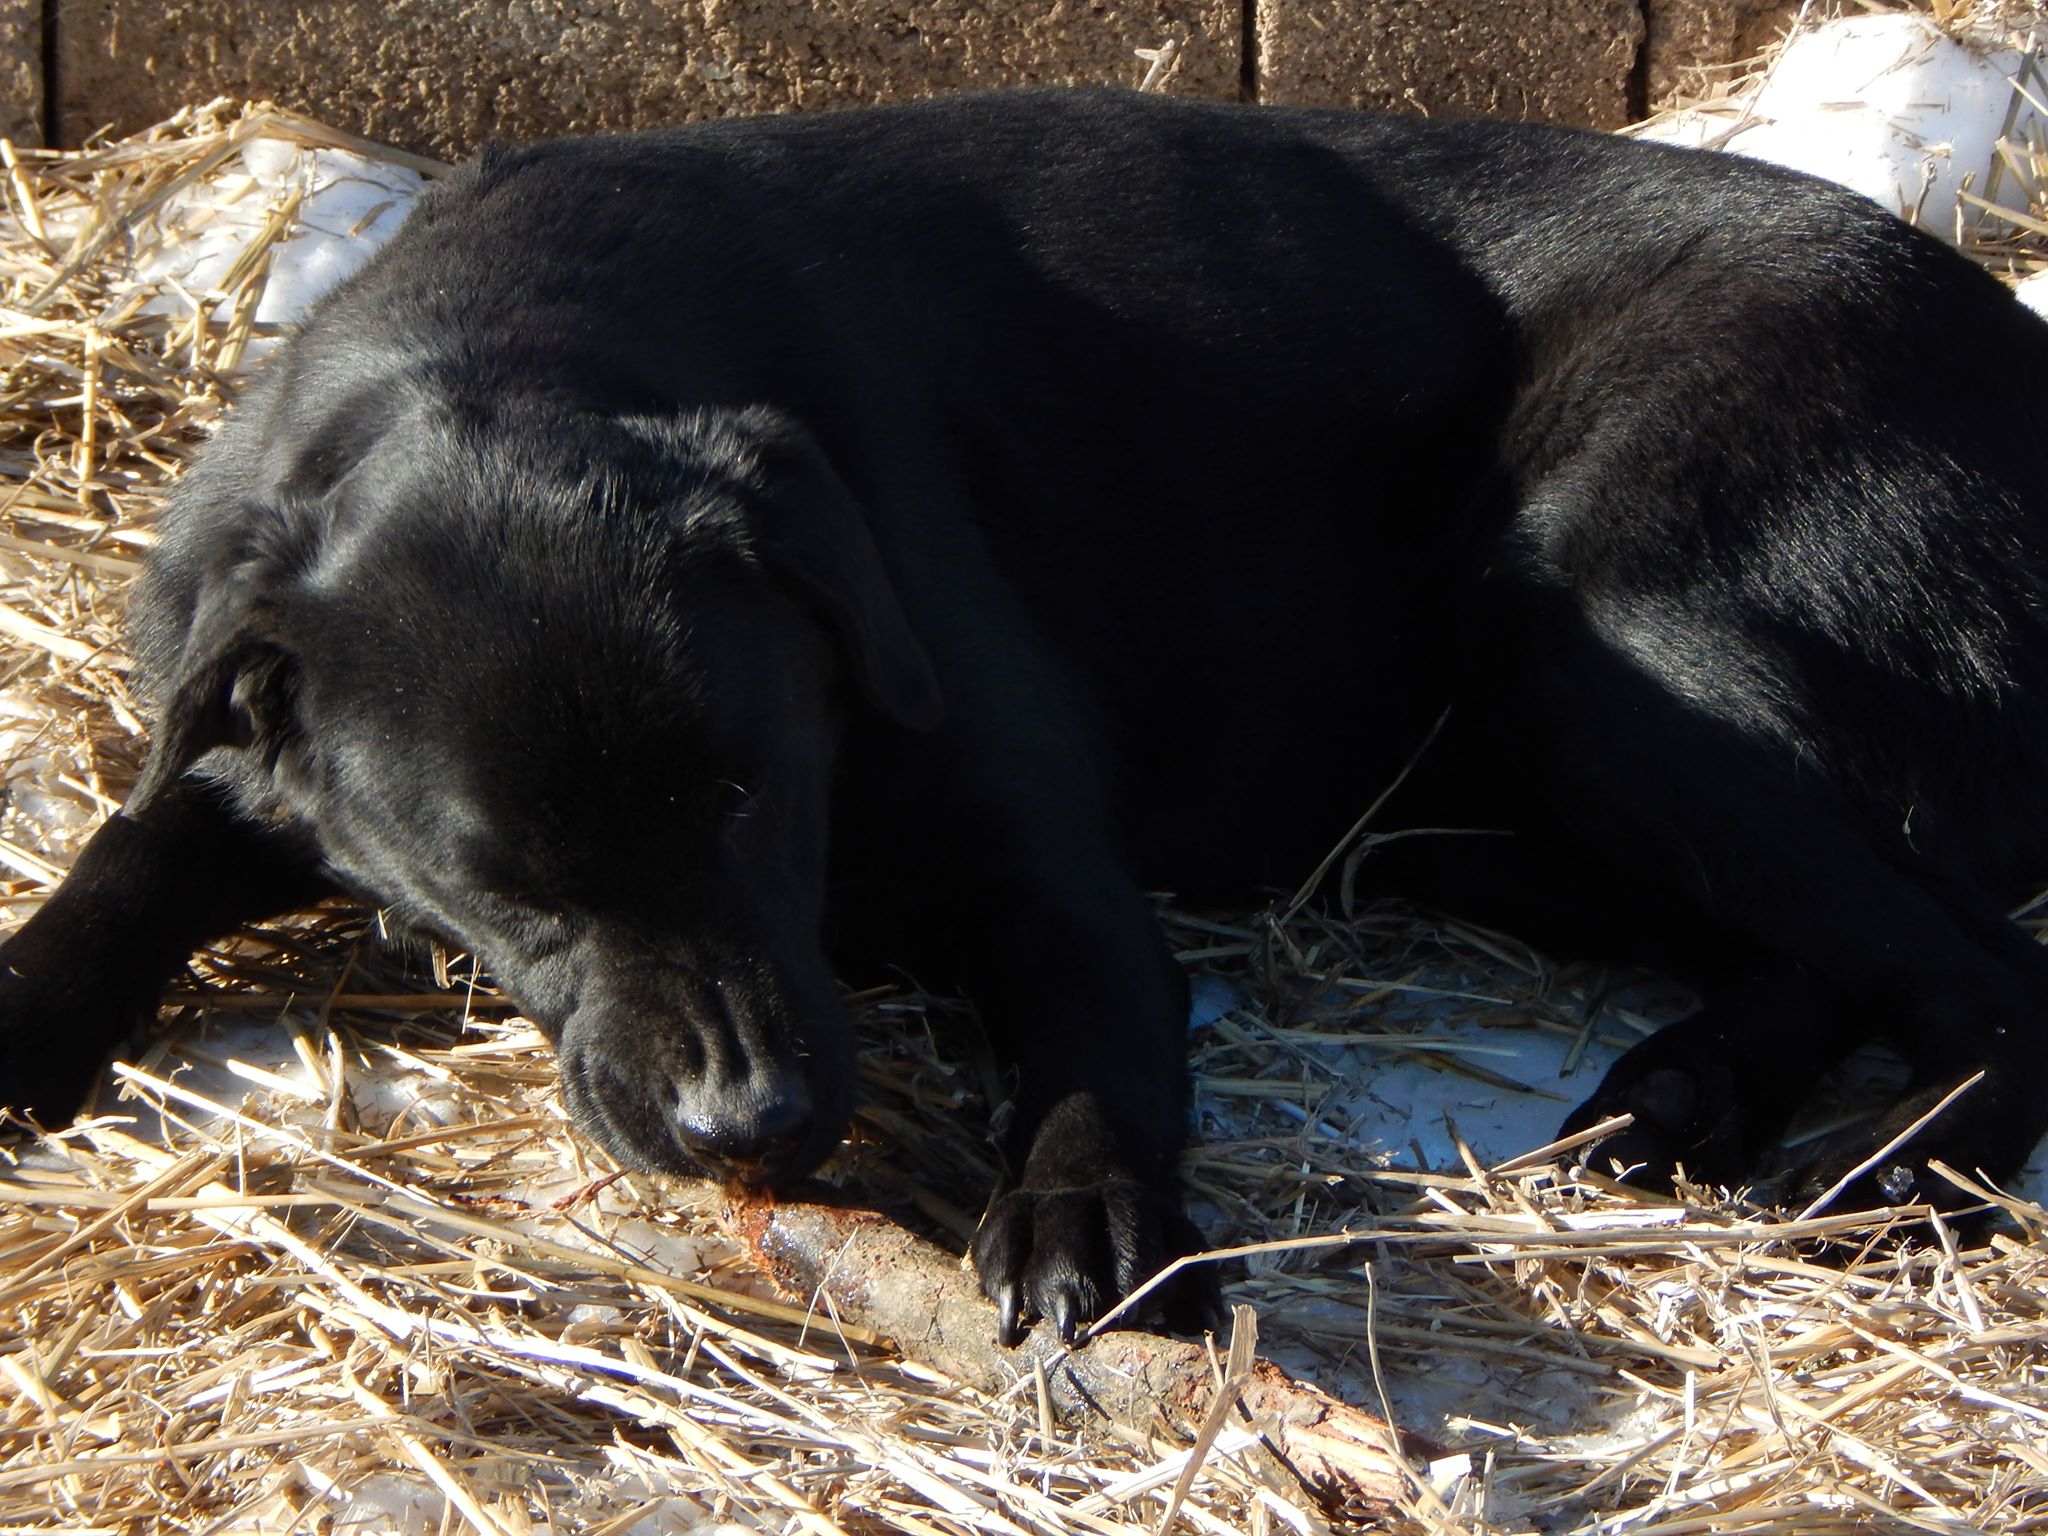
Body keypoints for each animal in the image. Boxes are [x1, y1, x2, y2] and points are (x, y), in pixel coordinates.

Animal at [4, 90, 2048, 1343]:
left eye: (753, 795)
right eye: (507, 888)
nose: (756, 1124)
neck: (506, 348)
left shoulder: (1032, 854)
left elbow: (1093, 1033)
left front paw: (1079, 1213)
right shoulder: (249, 724)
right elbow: (130, 848)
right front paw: (30, 1006)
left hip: (1577, 633)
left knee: (1972, 965)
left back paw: (1890, 1177)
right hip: (1488, 810)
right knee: (1832, 944)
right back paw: (1681, 1095)